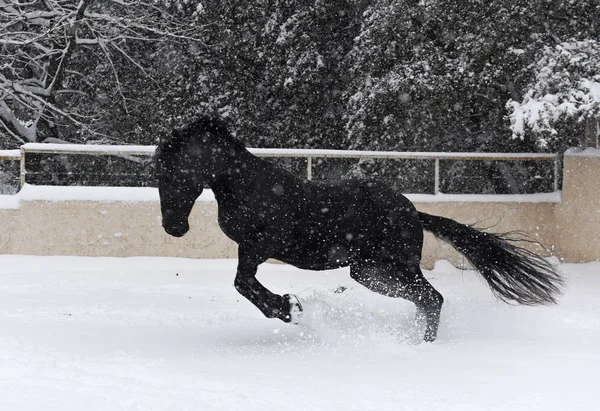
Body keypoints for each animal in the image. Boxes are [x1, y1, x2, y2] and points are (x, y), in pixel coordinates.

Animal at [155, 116, 564, 342]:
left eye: (173, 171)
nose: (172, 227)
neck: (248, 186)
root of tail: (413, 213)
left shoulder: (261, 245)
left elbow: (244, 284)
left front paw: (290, 308)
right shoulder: (250, 249)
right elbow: (244, 284)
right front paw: (289, 307)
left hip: (396, 267)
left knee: (432, 299)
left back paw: (422, 348)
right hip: (370, 272)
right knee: (424, 301)